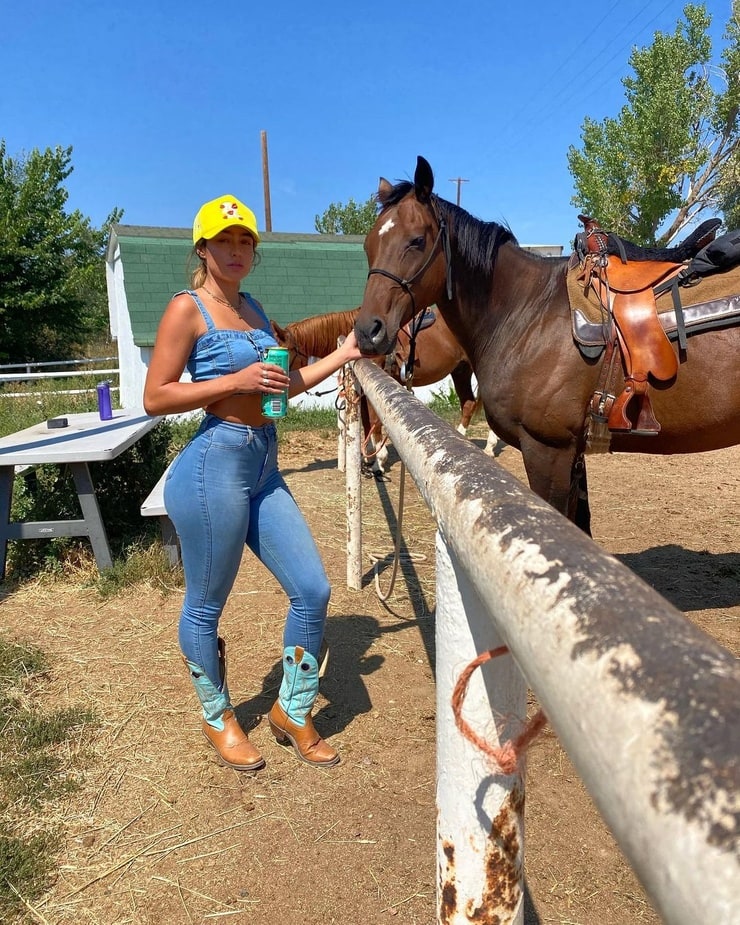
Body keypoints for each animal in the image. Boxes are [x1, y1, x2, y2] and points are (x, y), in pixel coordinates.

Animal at [270, 308, 498, 472]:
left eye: (283, 353)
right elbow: (366, 421)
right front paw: (369, 457)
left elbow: (374, 421)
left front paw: (379, 461)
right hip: (460, 370)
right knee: (468, 404)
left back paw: (489, 447)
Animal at [354, 156, 740, 532]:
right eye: (369, 244)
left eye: (416, 240)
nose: (367, 331)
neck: (527, 313)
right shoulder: (573, 452)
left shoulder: (548, 450)